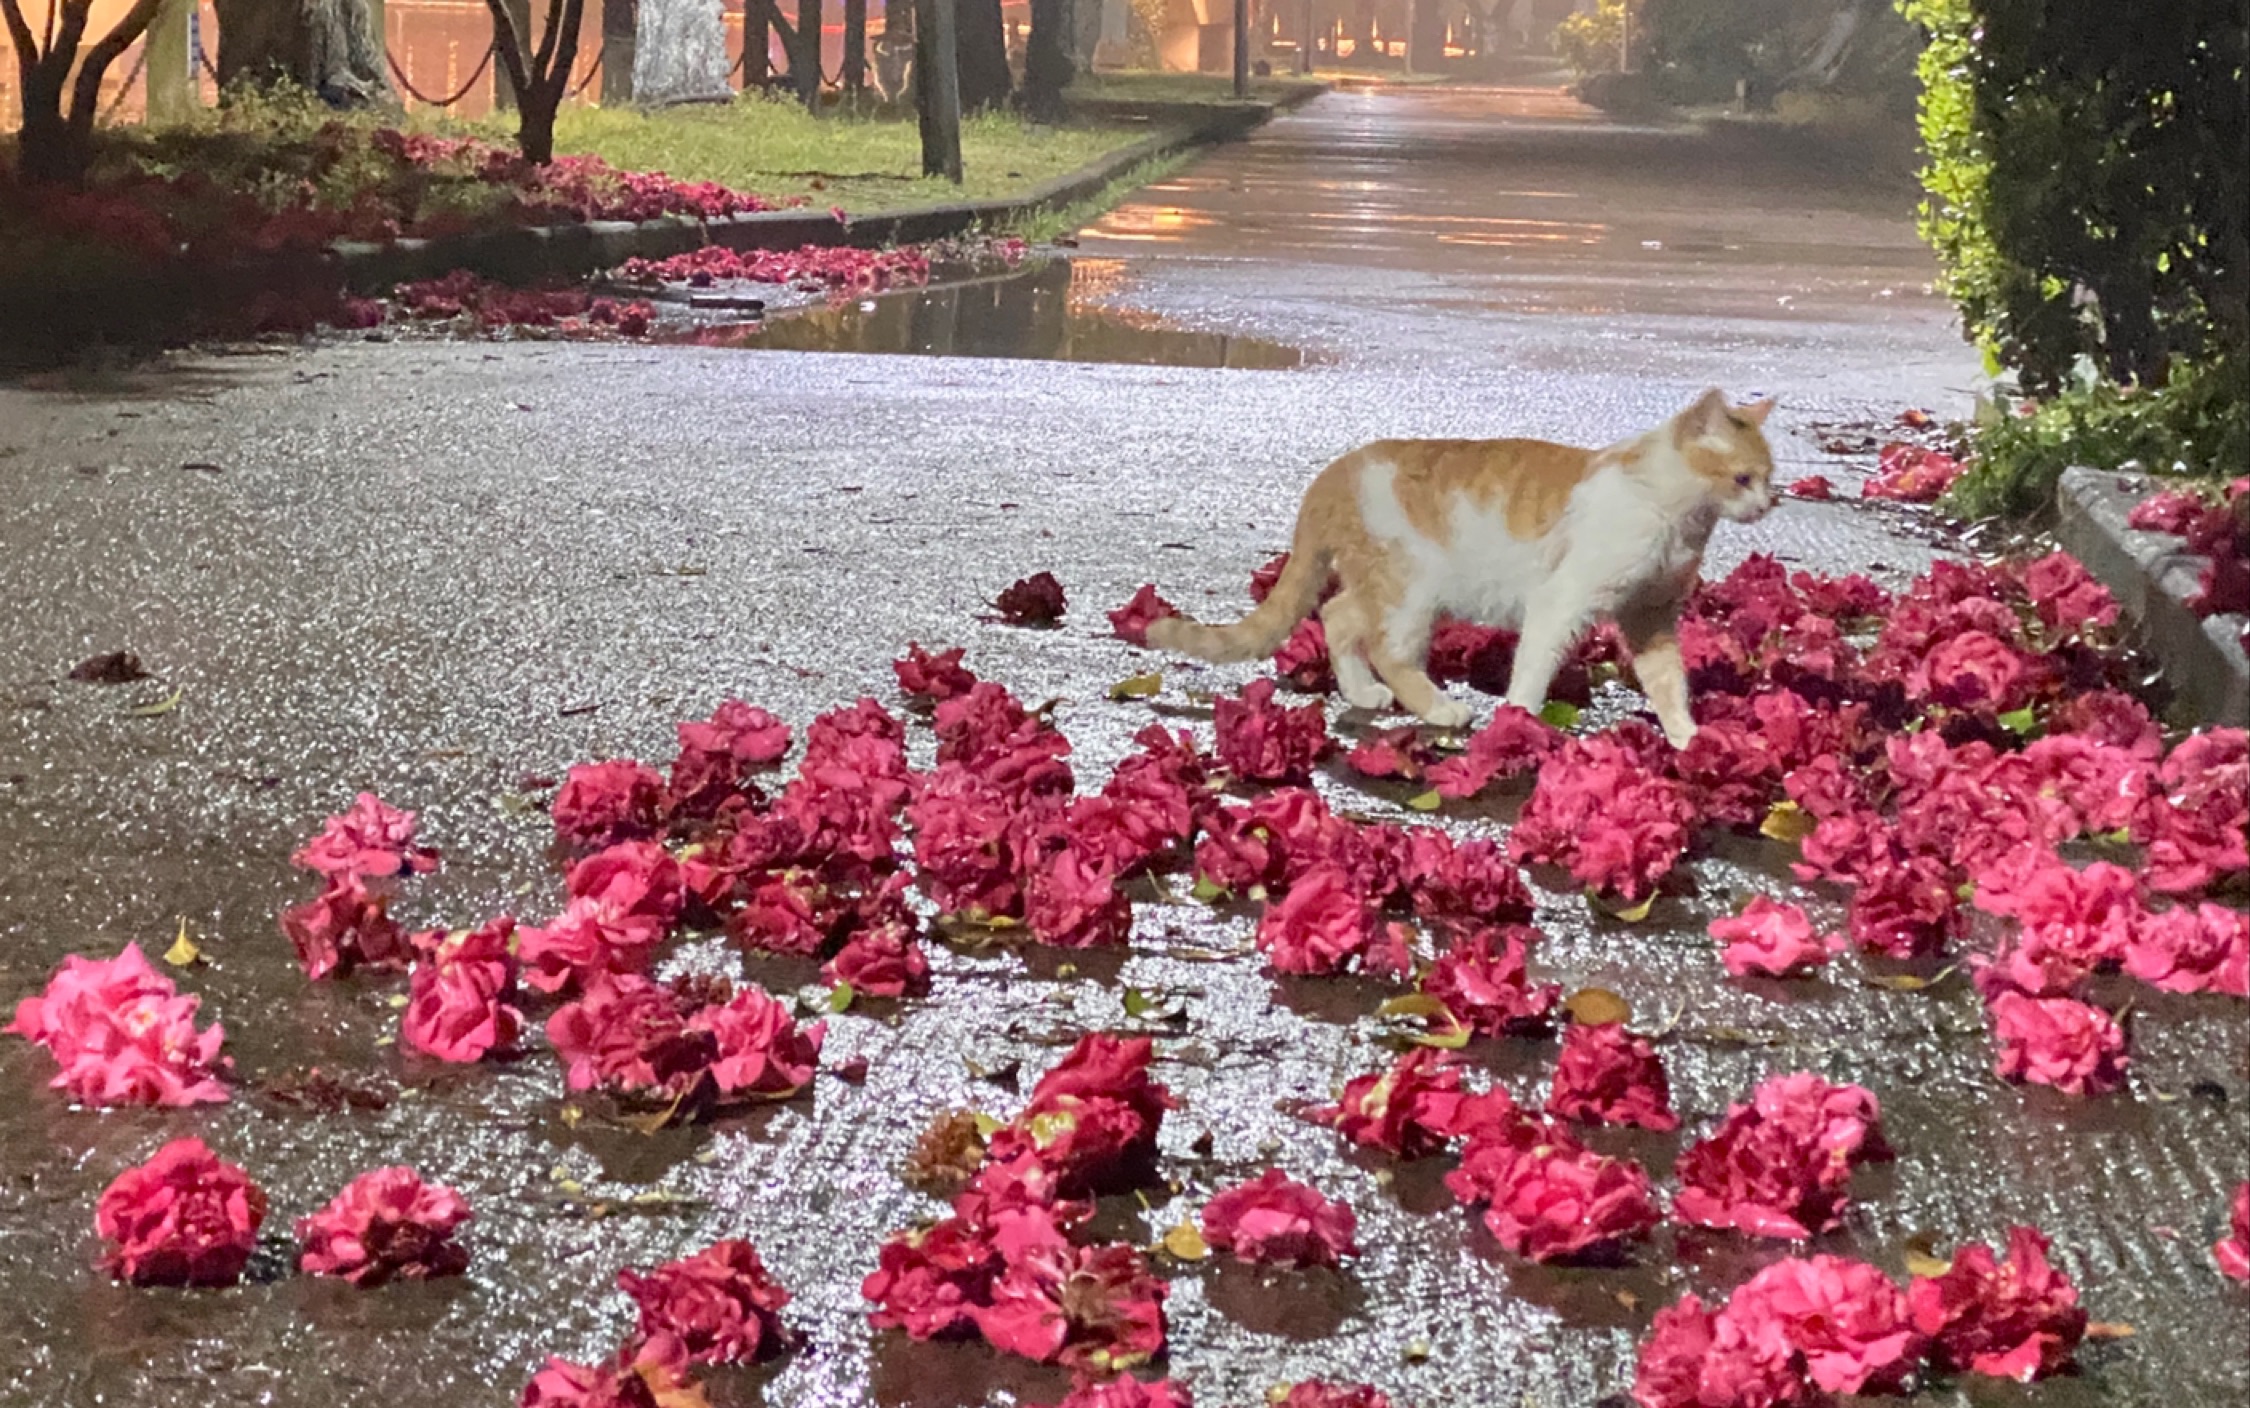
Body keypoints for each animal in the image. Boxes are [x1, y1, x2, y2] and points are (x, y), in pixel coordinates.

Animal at [1152, 389, 1782, 746]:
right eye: (1742, 478)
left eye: (1769, 478)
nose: (1768, 504)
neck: (1669, 511)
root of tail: (1335, 472)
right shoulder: (1562, 602)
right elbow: (1533, 668)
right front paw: (1519, 721)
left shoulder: (1650, 616)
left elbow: (1669, 684)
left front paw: (1687, 737)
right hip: (1412, 591)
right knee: (1388, 651)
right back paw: (1441, 708)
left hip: (1387, 585)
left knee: (1337, 616)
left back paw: (1362, 692)